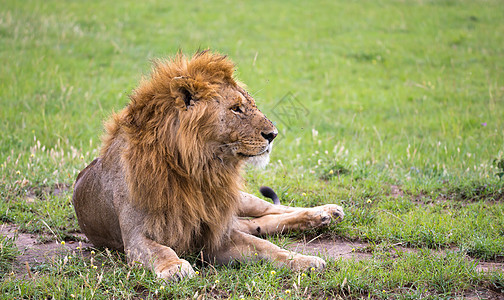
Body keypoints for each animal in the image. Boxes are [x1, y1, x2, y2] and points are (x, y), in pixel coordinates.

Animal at [73, 50, 344, 280]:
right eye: (236, 109)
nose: (273, 134)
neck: (197, 168)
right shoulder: (134, 235)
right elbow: (160, 250)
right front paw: (175, 267)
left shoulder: (216, 232)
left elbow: (267, 247)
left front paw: (304, 260)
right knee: (260, 222)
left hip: (238, 198)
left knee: (273, 209)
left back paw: (326, 212)